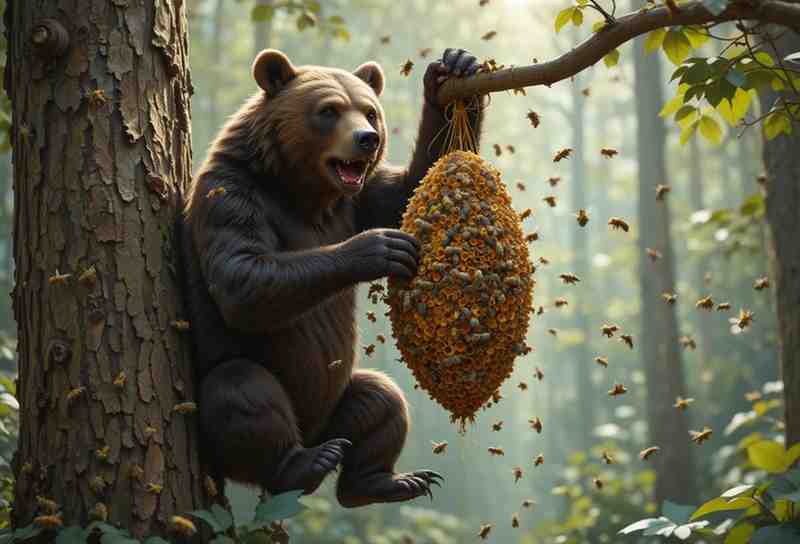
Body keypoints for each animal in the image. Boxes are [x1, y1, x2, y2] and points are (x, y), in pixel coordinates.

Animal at [182, 47, 484, 508]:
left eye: (370, 111)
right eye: (328, 110)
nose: (367, 138)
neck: (303, 192)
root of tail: (312, 432)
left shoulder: (355, 201)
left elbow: (409, 190)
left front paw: (454, 71)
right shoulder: (231, 194)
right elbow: (242, 276)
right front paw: (381, 247)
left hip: (338, 404)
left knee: (381, 400)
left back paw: (388, 481)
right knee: (240, 389)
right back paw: (303, 465)